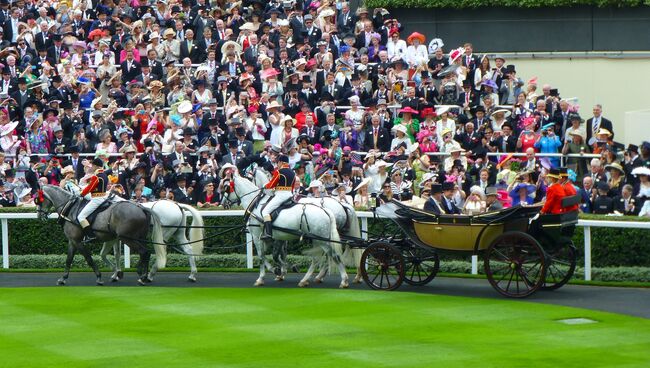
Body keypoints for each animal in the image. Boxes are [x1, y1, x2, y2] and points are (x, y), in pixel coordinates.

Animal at [36, 185, 166, 286]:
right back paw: (143, 275)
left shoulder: (77, 241)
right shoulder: (72, 241)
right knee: (146, 253)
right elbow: (69, 260)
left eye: (38, 200)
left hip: (127, 238)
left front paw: (99, 277)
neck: (70, 208)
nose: (39, 216)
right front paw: (63, 278)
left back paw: (142, 275)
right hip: (139, 238)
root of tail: (141, 207)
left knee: (144, 252)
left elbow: (88, 259)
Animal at [221, 172, 350, 288]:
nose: (223, 203)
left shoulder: (257, 237)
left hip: (322, 240)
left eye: (226, 187)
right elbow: (277, 255)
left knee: (332, 256)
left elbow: (262, 256)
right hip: (318, 240)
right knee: (321, 258)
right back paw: (308, 279)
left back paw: (342, 280)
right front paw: (282, 270)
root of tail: (326, 210)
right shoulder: (278, 238)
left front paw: (265, 276)